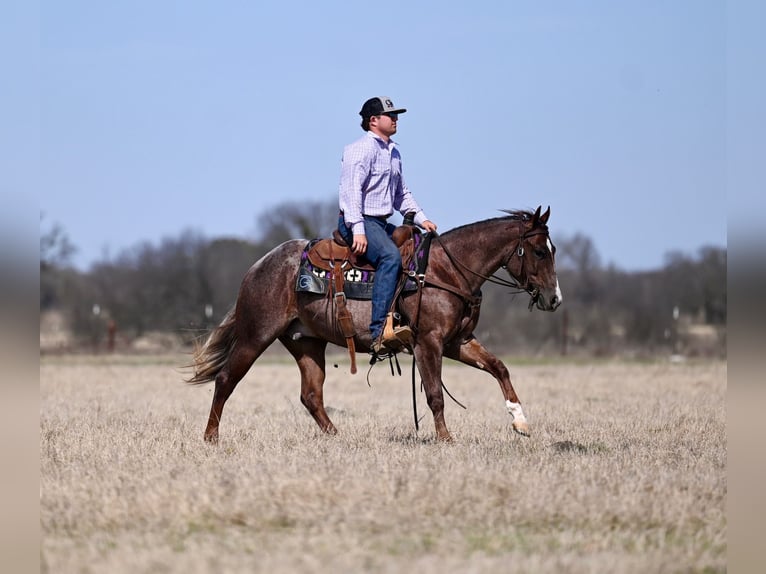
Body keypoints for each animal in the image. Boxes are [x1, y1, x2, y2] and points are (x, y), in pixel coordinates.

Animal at [187, 206, 562, 442]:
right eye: (539, 251)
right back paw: (211, 437)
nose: (554, 298)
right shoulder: (429, 342)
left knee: (311, 395)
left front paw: (520, 421)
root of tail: (258, 266)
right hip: (255, 336)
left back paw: (337, 437)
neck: (445, 271)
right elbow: (435, 394)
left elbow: (499, 368)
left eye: (552, 249)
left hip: (306, 342)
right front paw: (445, 438)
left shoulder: (459, 341)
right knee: (225, 380)